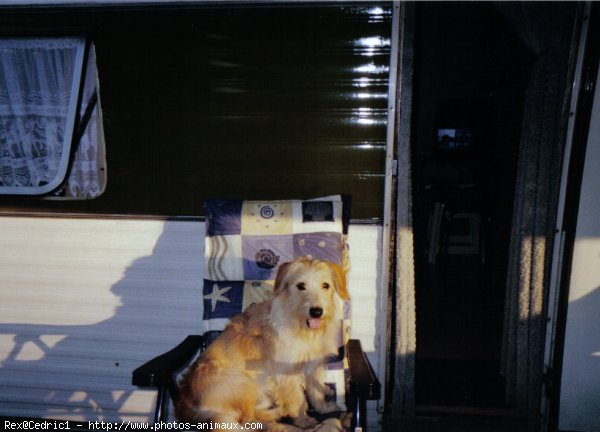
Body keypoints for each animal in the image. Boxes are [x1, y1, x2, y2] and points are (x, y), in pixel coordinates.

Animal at [173, 258, 350, 430]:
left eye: (325, 285)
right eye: (301, 286)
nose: (316, 312)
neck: (302, 328)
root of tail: (185, 403)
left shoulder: (313, 366)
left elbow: (316, 392)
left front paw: (324, 409)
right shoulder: (287, 372)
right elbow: (296, 399)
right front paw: (302, 420)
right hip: (243, 383)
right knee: (248, 420)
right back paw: (279, 416)